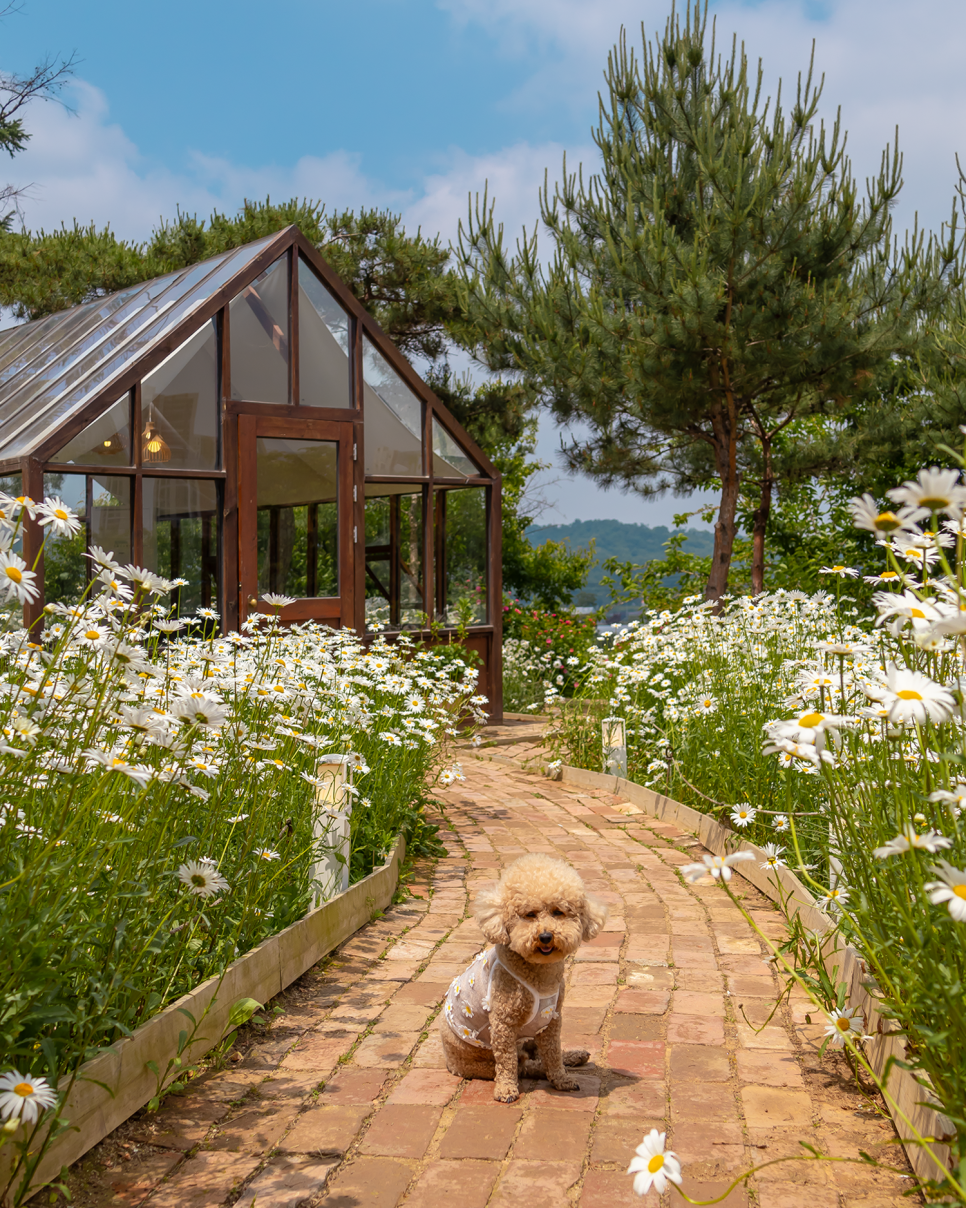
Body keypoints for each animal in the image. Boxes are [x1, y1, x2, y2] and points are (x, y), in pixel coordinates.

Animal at [441, 850, 608, 1106]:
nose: (546, 936)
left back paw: (573, 1056)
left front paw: (561, 1079)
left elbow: (553, 1053)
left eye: (558, 912)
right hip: (482, 1060)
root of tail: (450, 1062)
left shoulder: (552, 1019)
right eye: (530, 915)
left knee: (540, 1055)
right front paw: (506, 1090)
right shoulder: (504, 1024)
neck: (540, 974)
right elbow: (507, 1063)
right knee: (524, 1066)